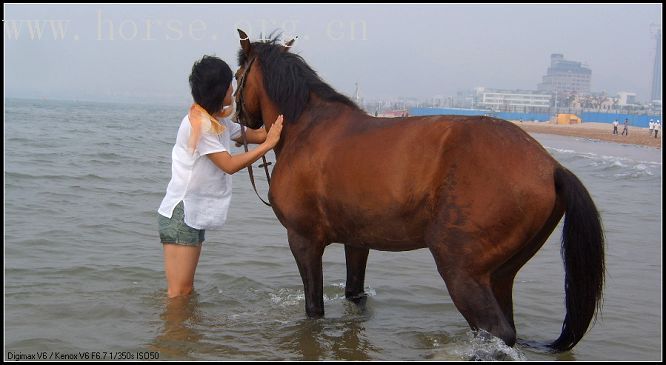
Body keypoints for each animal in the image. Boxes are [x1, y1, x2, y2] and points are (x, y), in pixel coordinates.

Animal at [232, 29, 600, 352]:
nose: (238, 118)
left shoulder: (304, 240)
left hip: (462, 272)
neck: (307, 128)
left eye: (237, 76)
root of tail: (549, 166)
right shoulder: (357, 241)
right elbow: (355, 295)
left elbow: (314, 309)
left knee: (495, 332)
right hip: (499, 276)